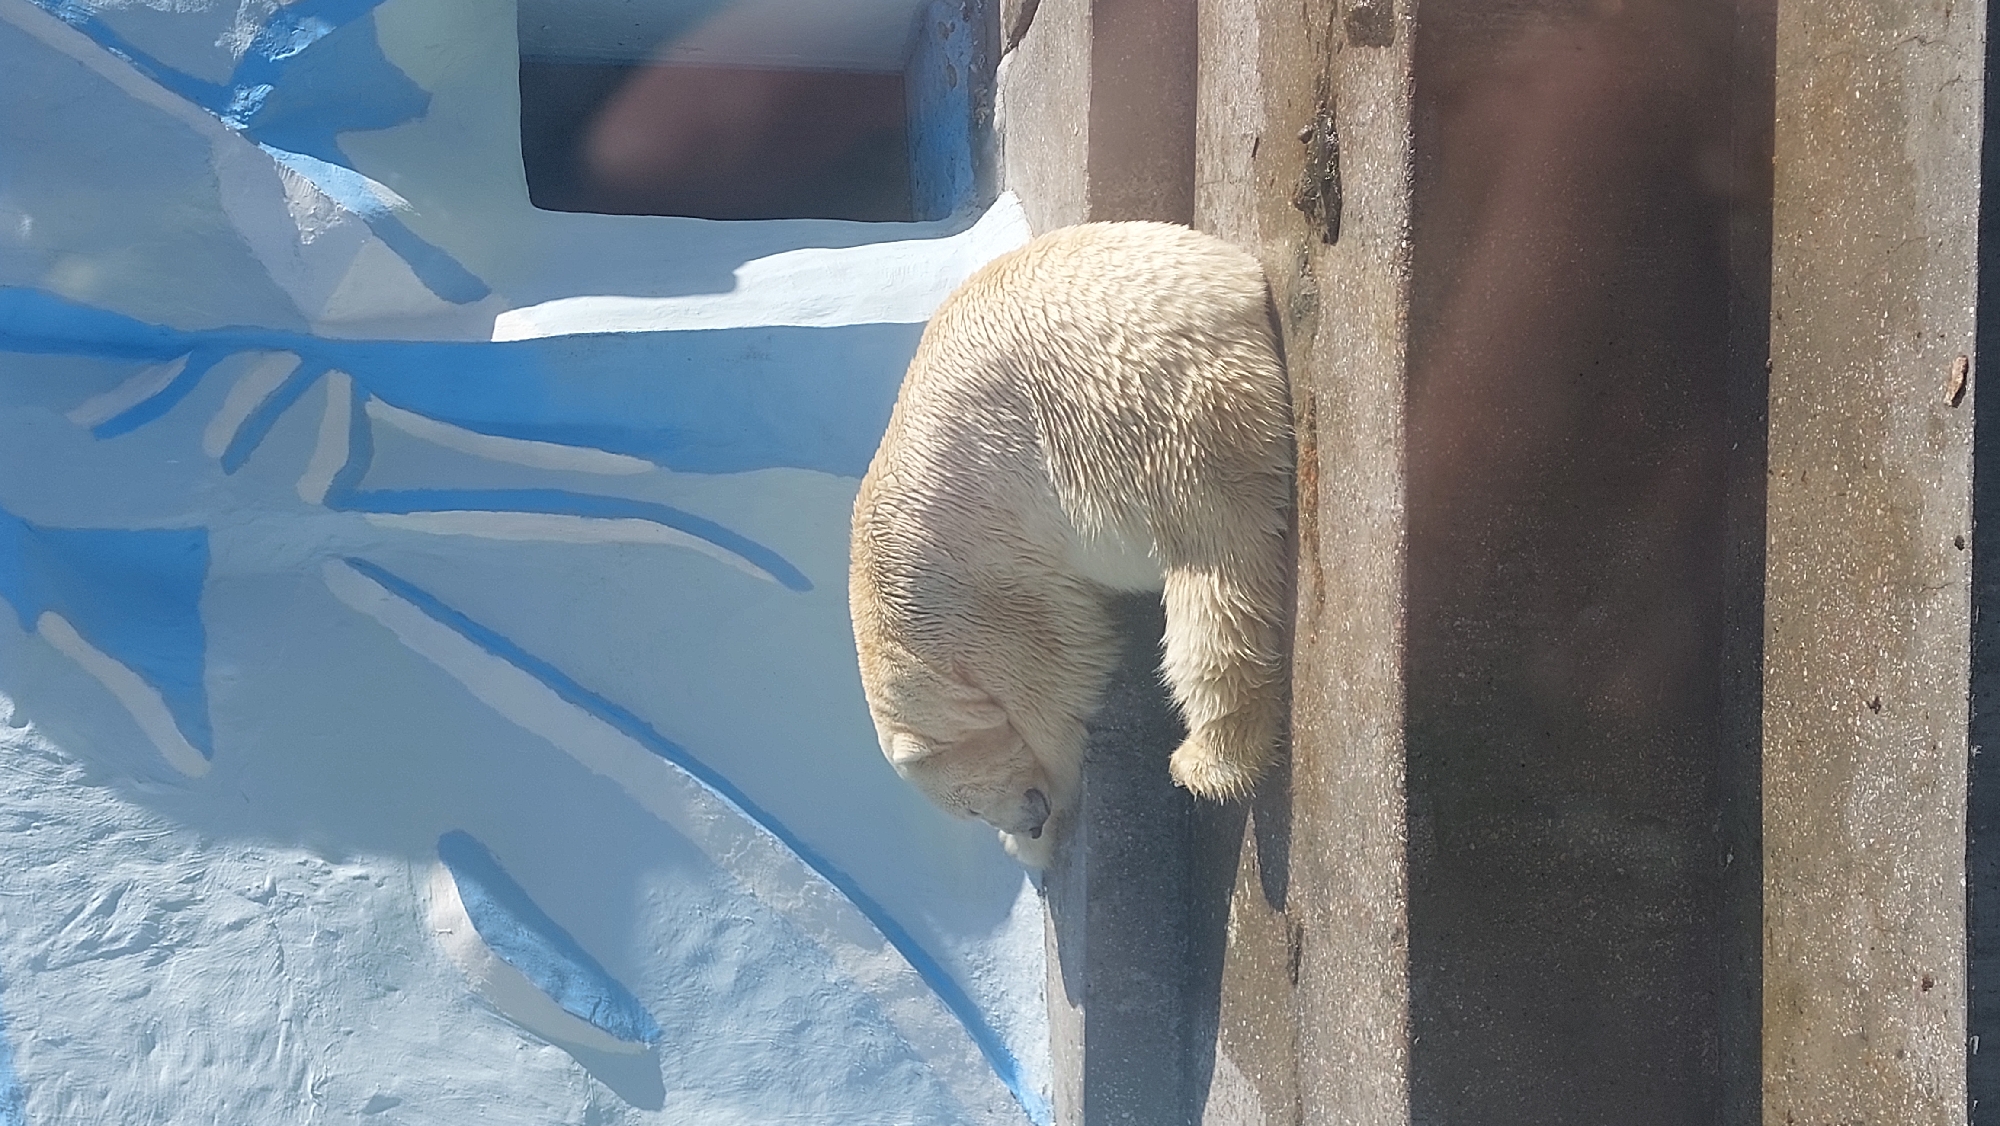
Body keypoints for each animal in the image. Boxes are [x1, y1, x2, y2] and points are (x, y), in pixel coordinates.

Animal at [849, 221, 1293, 866]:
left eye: (970, 806)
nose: (1028, 821)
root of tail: (1213, 301)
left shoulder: (980, 611)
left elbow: (1055, 697)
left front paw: (1036, 837)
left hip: (1115, 423)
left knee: (1208, 571)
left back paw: (1208, 761)